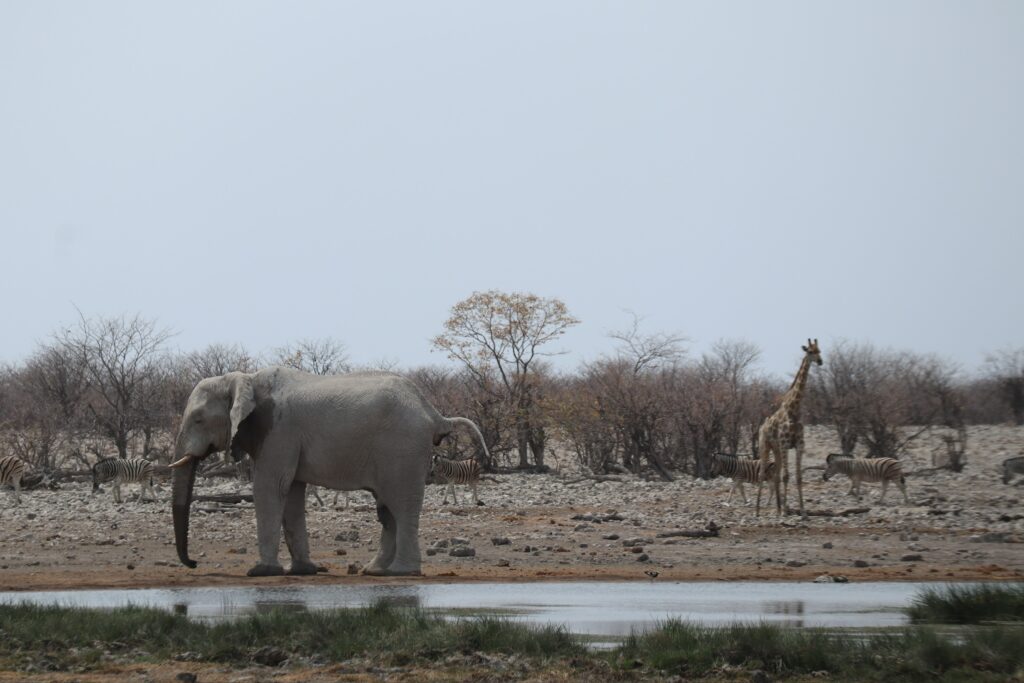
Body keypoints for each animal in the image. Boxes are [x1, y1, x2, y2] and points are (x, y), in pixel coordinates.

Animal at [169, 368, 489, 577]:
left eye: (198, 420)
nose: (194, 563)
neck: (244, 378)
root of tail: (434, 414)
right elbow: (292, 493)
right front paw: (303, 571)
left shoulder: (279, 432)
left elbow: (270, 488)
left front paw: (261, 571)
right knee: (388, 511)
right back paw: (373, 571)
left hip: (403, 450)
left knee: (401, 506)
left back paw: (402, 573)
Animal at [757, 335, 819, 518]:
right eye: (810, 351)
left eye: (820, 350)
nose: (820, 361)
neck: (794, 409)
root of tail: (761, 427)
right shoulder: (785, 444)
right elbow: (786, 476)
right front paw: (786, 510)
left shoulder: (799, 444)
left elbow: (798, 477)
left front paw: (803, 511)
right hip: (765, 446)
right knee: (762, 473)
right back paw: (757, 510)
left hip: (776, 449)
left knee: (776, 475)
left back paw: (777, 508)